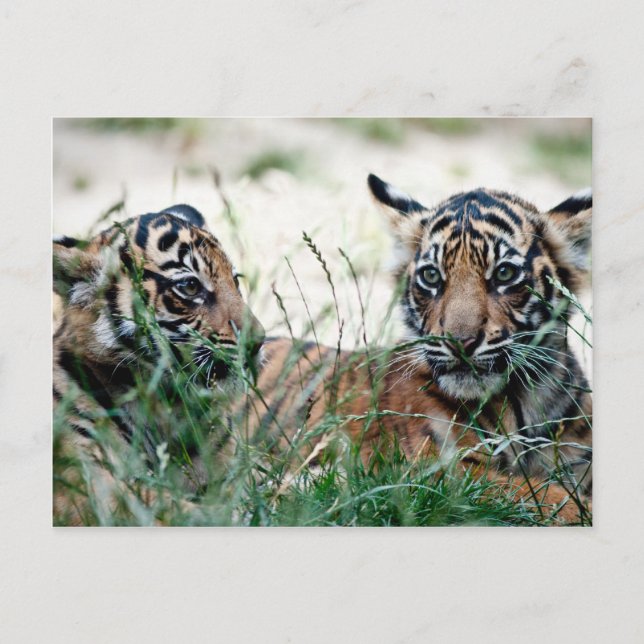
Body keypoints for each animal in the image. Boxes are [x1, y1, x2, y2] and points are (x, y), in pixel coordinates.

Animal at [53, 204, 265, 524]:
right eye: (190, 285)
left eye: (235, 280)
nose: (258, 342)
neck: (165, 405)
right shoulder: (93, 486)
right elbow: (182, 511)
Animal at [250, 175, 592, 525]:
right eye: (431, 276)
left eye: (504, 273)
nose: (460, 341)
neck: (527, 401)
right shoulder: (437, 471)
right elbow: (541, 494)